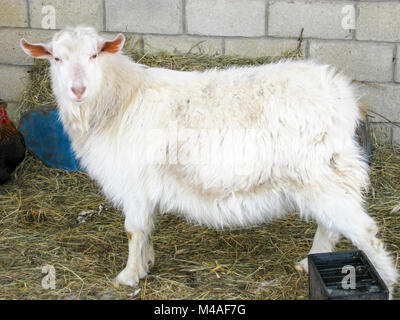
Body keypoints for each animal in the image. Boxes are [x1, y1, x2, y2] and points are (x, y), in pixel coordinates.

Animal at [21, 26, 396, 296]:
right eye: (56, 58)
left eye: (95, 53)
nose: (77, 90)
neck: (120, 100)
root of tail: (344, 96)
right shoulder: (146, 186)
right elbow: (146, 229)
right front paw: (146, 263)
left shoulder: (134, 182)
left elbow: (133, 230)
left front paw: (128, 275)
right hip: (322, 178)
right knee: (330, 225)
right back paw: (308, 263)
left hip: (326, 173)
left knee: (365, 231)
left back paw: (387, 282)